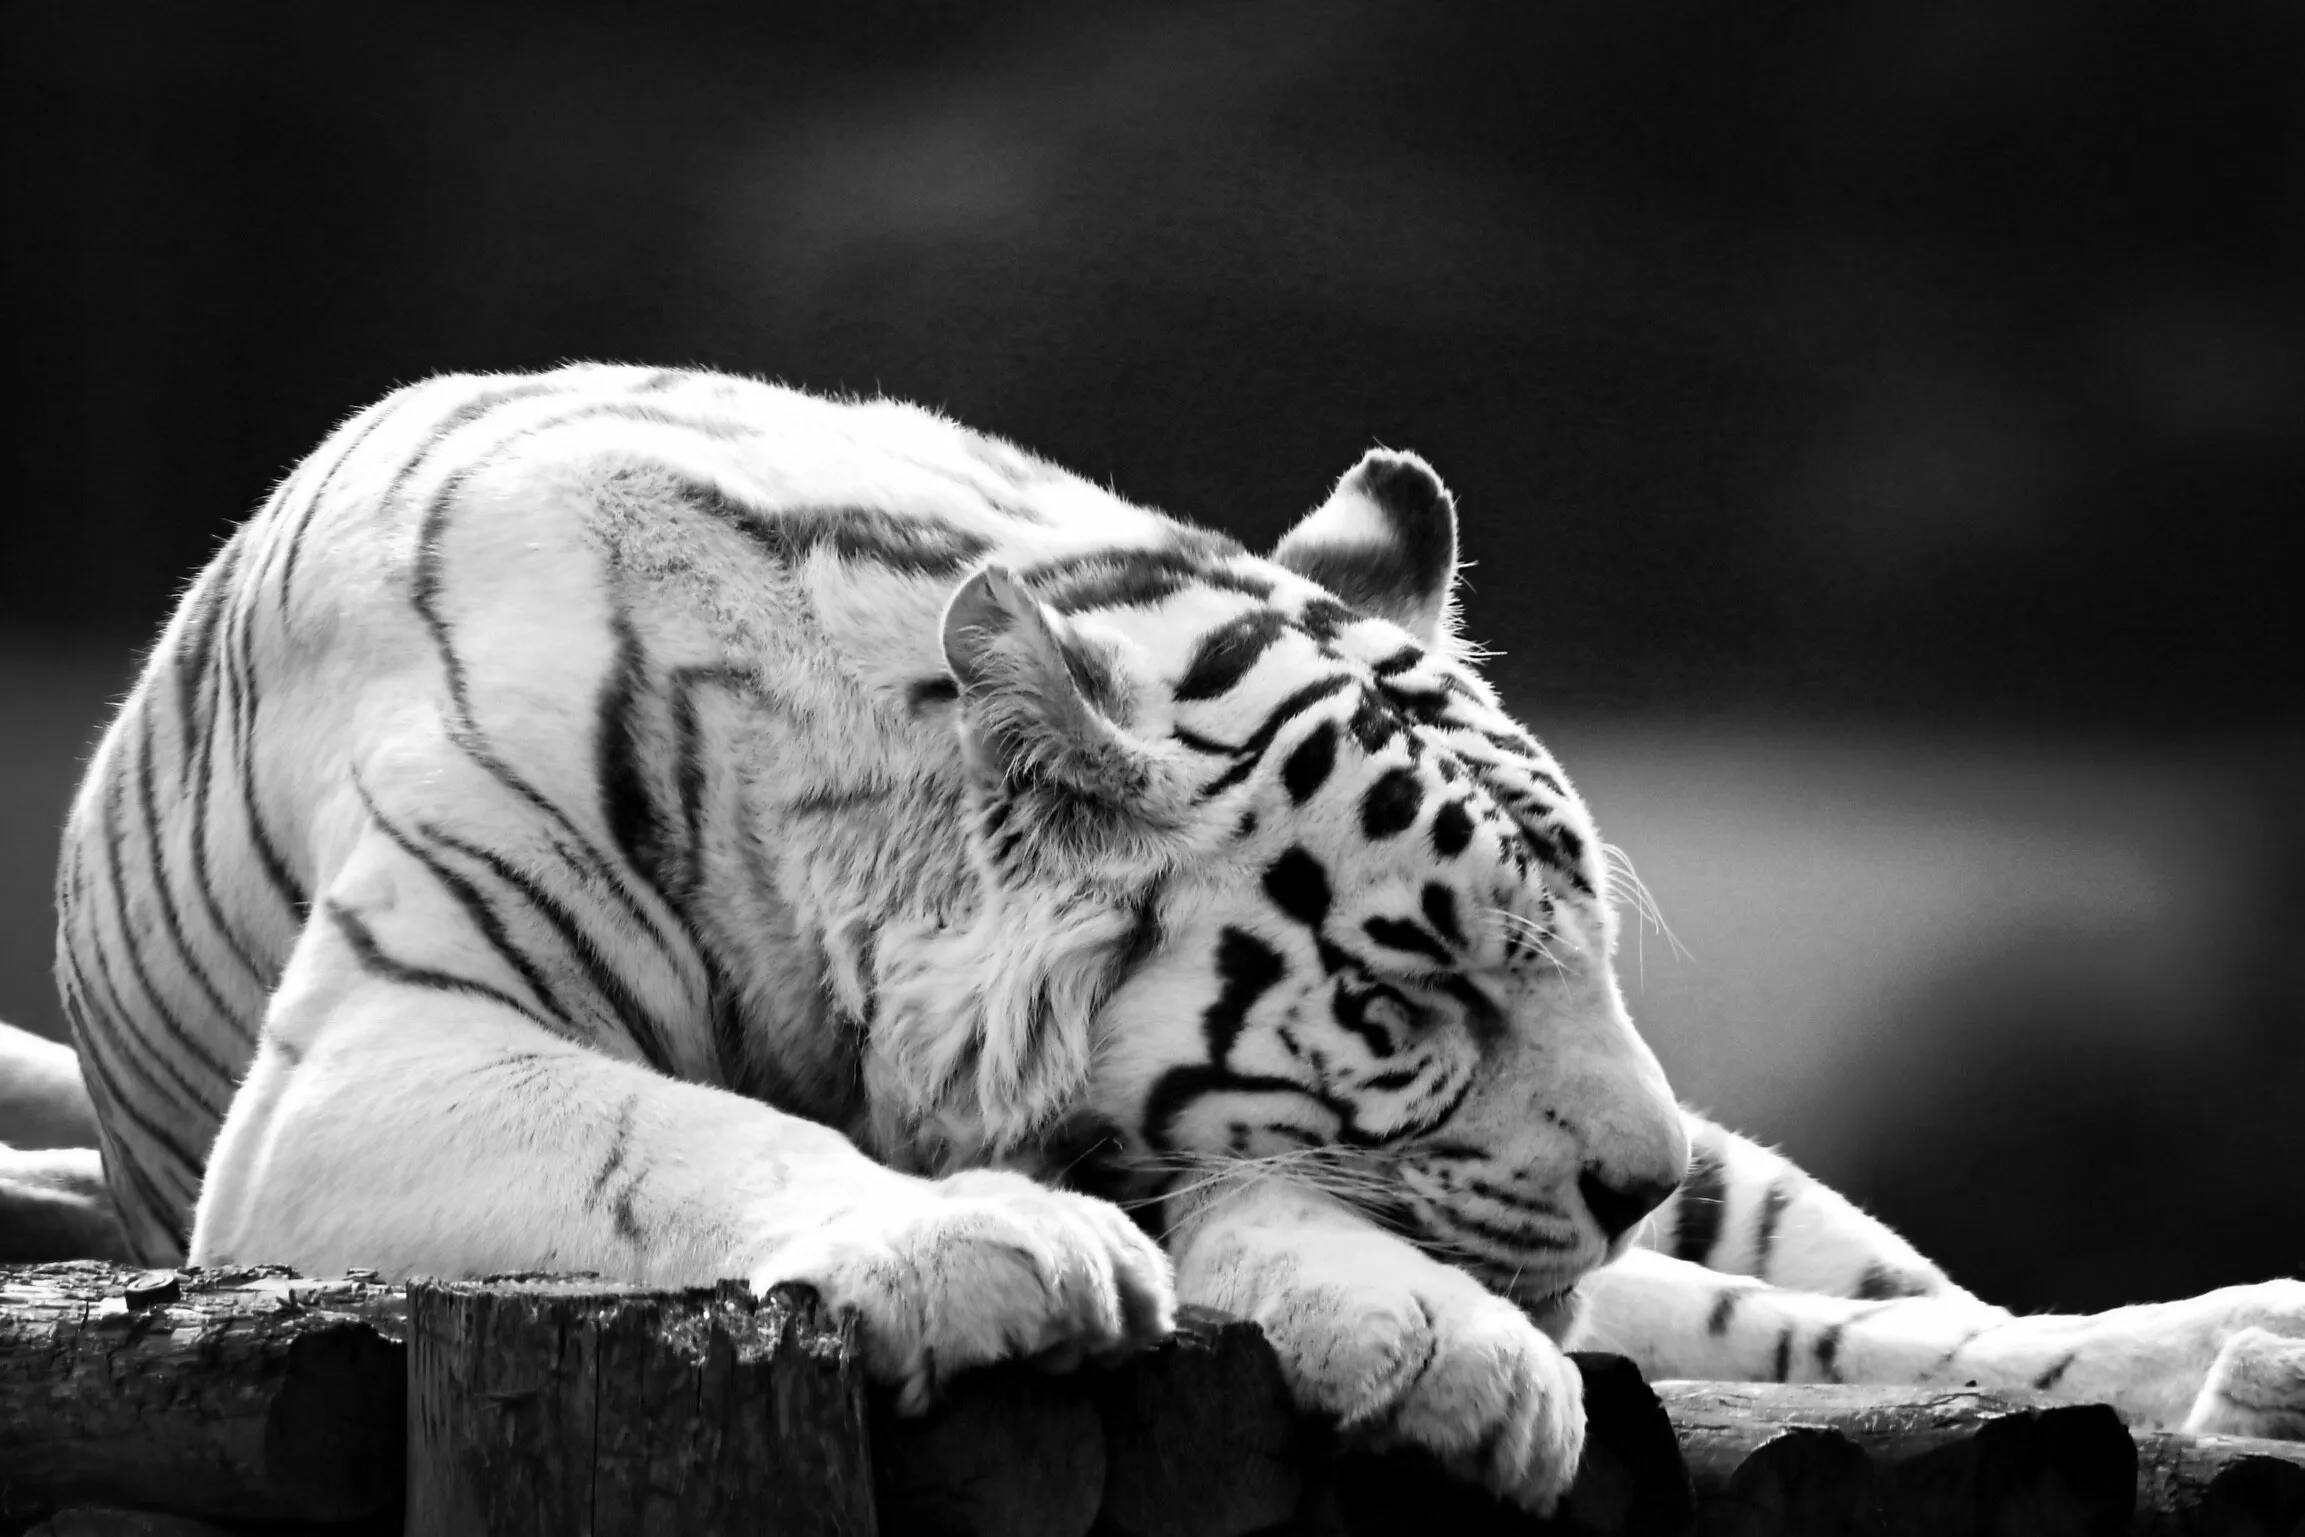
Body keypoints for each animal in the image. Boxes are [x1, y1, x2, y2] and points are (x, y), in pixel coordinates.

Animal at [50, 362, 2305, 1512]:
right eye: (1418, 981)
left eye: (1578, 949)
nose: (1633, 1174)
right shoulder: (374, 1059)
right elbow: (669, 1130)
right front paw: (981, 1248)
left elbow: (1297, 1202)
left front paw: (1428, 1344)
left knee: (1873, 1326)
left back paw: (2237, 1351)